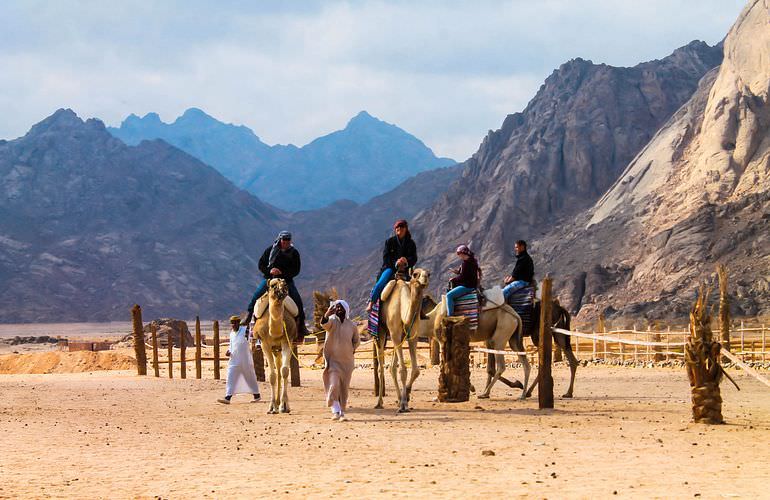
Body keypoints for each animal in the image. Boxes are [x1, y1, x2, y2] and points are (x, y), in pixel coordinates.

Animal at [254, 278, 298, 414]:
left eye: (285, 283)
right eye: (273, 285)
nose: (284, 289)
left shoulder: (287, 342)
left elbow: (284, 371)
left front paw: (284, 406)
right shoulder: (265, 344)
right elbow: (272, 375)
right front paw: (272, 407)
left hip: (280, 348)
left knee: (280, 370)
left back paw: (280, 404)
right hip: (274, 349)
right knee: (276, 371)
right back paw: (276, 404)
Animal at [374, 268, 428, 412]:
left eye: (429, 273)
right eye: (415, 274)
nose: (425, 277)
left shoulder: (412, 335)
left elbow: (415, 370)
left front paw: (406, 396)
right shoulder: (394, 333)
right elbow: (403, 370)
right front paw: (404, 404)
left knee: (392, 367)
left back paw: (398, 399)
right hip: (381, 333)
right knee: (381, 366)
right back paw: (379, 402)